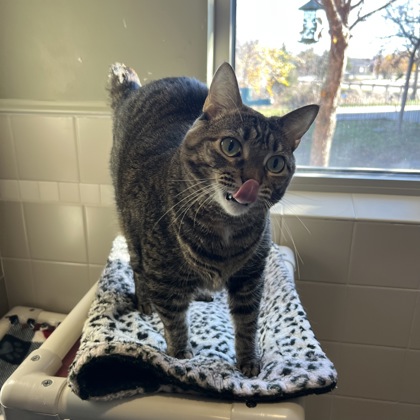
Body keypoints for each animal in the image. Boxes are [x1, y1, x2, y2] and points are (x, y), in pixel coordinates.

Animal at [108, 62, 318, 377]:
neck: (225, 228)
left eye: (276, 163)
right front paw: (180, 356)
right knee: (137, 268)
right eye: (230, 146)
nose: (252, 182)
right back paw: (145, 301)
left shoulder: (250, 280)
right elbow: (174, 322)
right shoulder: (163, 280)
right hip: (130, 227)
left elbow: (247, 324)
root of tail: (134, 89)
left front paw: (248, 361)